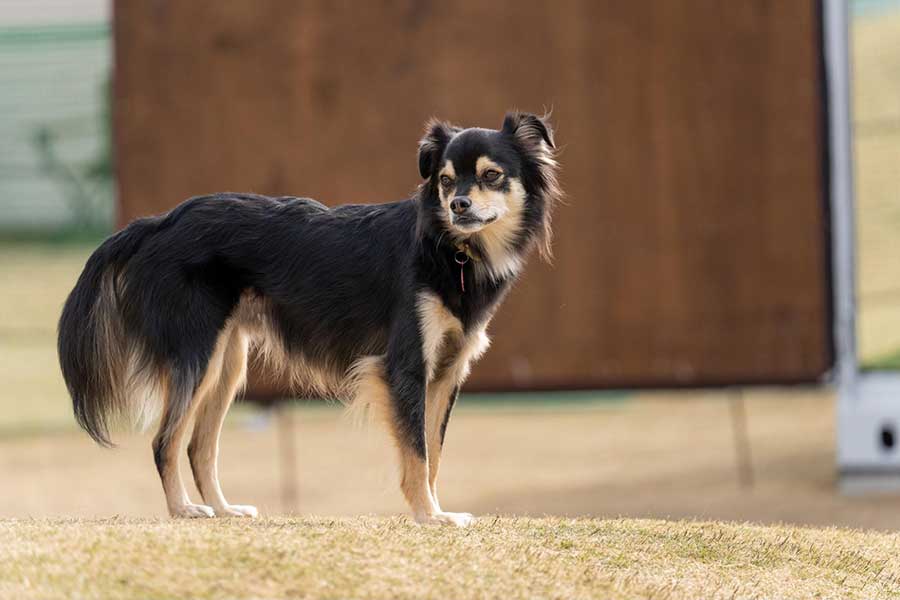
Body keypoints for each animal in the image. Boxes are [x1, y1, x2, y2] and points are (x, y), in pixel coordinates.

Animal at [56, 111, 560, 524]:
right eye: (446, 180)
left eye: (491, 175)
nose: (458, 206)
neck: (447, 249)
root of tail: (160, 222)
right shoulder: (406, 366)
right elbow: (416, 452)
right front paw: (428, 515)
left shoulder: (447, 370)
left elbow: (433, 452)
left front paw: (434, 509)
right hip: (197, 354)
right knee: (166, 441)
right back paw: (183, 509)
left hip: (226, 360)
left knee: (200, 445)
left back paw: (223, 509)